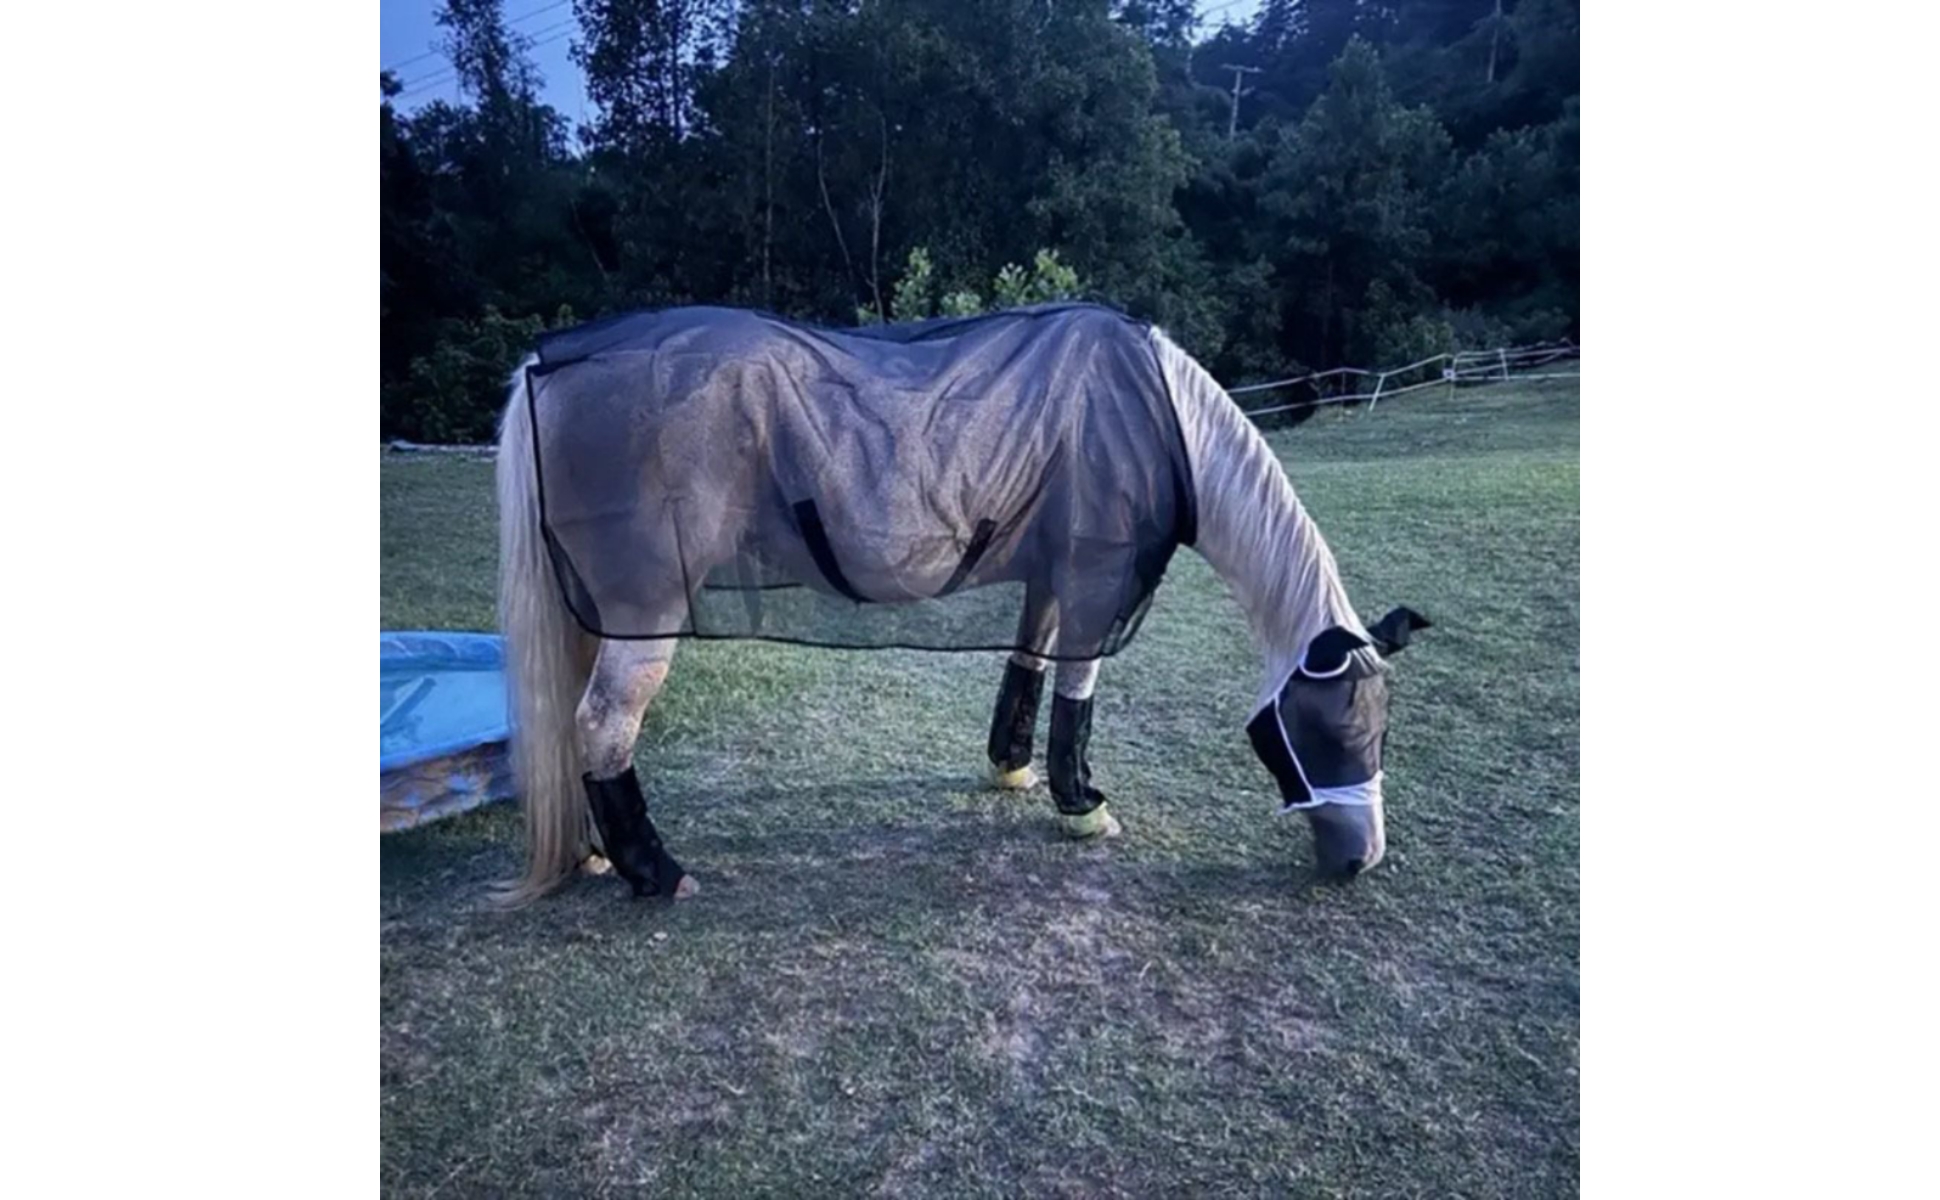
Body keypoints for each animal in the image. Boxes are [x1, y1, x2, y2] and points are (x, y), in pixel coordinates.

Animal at [492, 303, 1428, 905]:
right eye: (1338, 730)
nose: (1361, 861)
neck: (1160, 417)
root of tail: (549, 363)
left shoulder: (1050, 575)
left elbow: (1029, 666)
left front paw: (1011, 770)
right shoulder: (1096, 580)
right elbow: (1079, 691)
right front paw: (1082, 807)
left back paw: (596, 857)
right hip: (644, 612)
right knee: (602, 724)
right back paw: (655, 873)